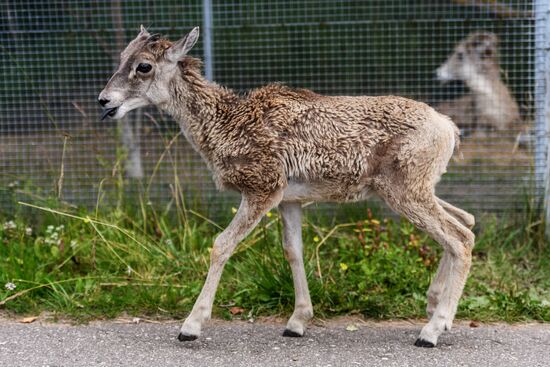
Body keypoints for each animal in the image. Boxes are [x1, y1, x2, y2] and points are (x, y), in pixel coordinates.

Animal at [100, 27, 478, 350]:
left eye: (144, 66)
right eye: (122, 55)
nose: (105, 100)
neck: (224, 125)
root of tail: (449, 129)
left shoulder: (263, 188)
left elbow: (221, 245)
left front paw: (190, 327)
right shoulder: (288, 199)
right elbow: (293, 251)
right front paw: (296, 323)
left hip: (404, 191)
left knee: (459, 237)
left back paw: (431, 331)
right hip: (417, 189)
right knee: (466, 222)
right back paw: (436, 311)